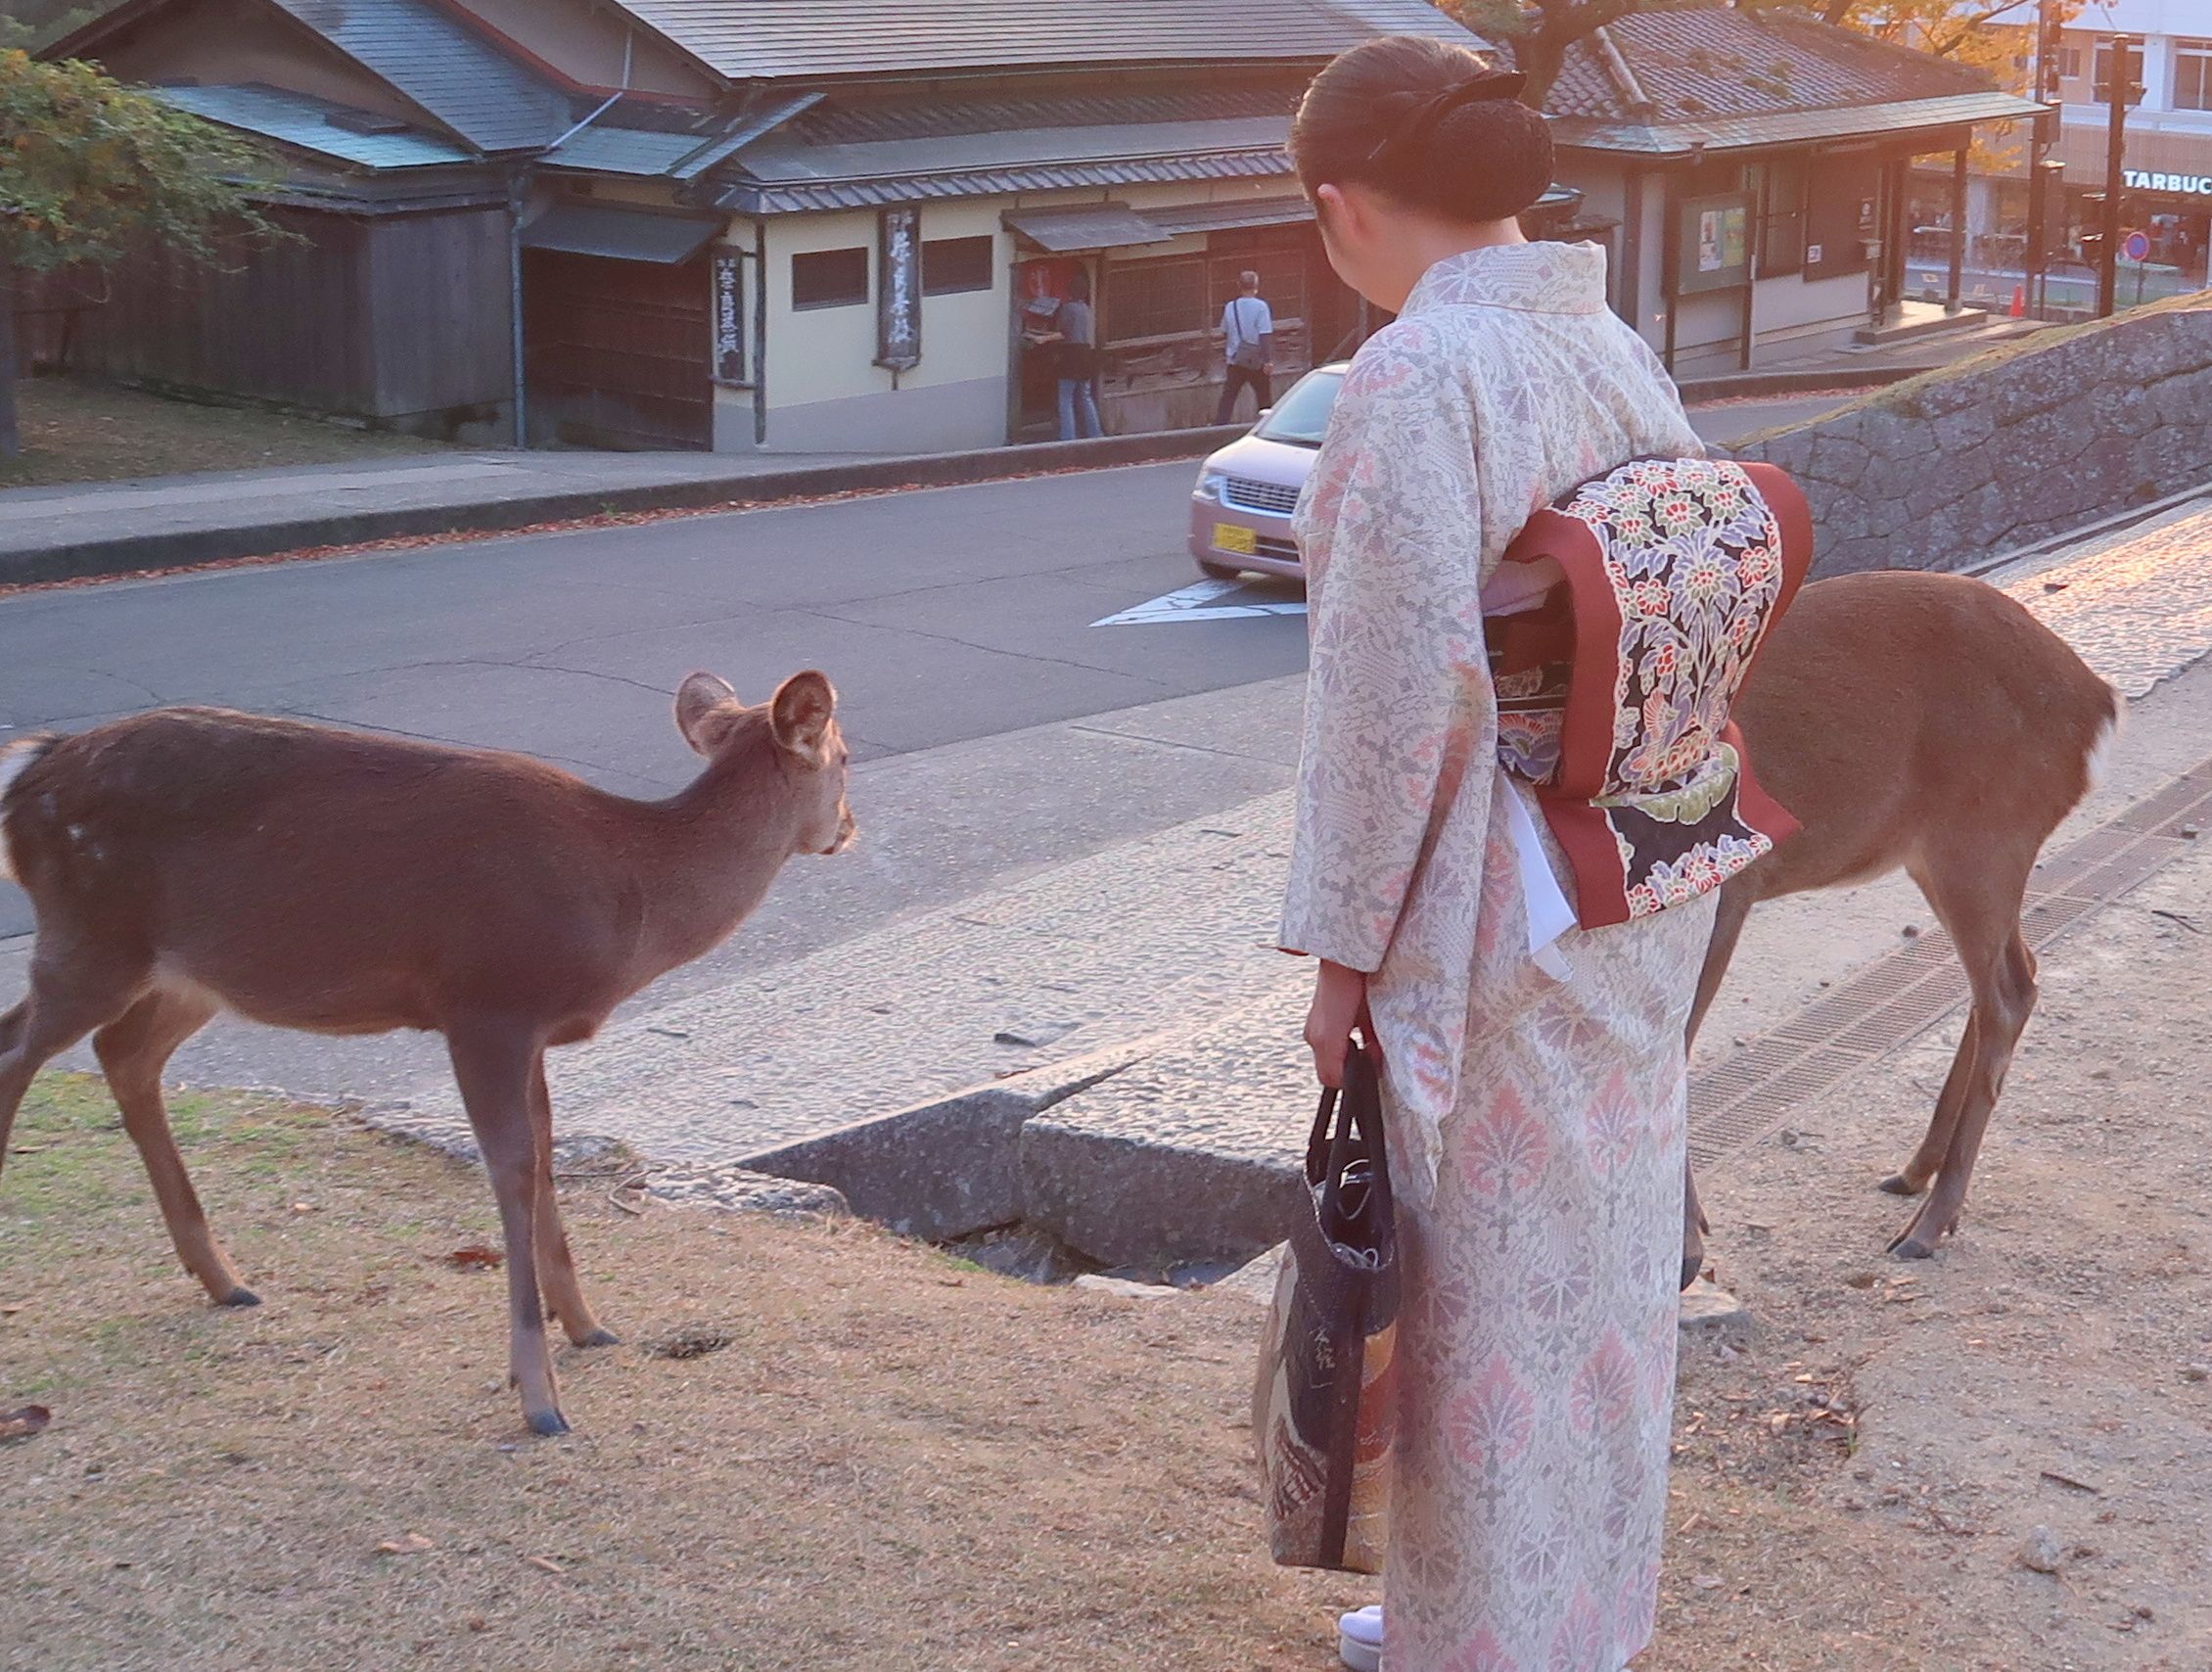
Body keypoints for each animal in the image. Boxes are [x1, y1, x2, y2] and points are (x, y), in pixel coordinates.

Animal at [0, 672, 853, 1433]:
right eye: (844, 756)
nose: (848, 826)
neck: (628, 893)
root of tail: (30, 773)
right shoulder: (483, 1005)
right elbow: (513, 1170)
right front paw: (539, 1398)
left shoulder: (530, 1027)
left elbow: (545, 1153)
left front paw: (588, 1324)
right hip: (90, 932)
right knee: (19, 1049)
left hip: (188, 971)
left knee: (123, 1052)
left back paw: (225, 1280)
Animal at [1681, 566, 2114, 1282]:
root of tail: (2099, 702)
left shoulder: (1726, 891)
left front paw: (1689, 1249)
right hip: (1947, 855)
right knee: (2013, 975)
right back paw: (1914, 1173)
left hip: (1985, 838)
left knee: (2006, 995)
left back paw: (1928, 1226)